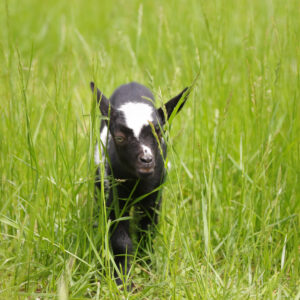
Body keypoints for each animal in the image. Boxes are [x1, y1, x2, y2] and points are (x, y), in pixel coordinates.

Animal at [90, 81, 191, 286]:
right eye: (119, 137)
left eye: (159, 133)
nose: (146, 160)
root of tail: (131, 84)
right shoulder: (116, 197)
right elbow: (121, 241)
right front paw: (122, 280)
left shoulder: (153, 198)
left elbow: (148, 230)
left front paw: (147, 266)